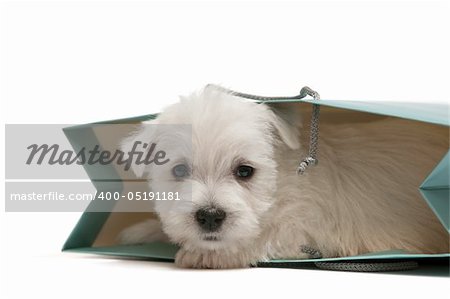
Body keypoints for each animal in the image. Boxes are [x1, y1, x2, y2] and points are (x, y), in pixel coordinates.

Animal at [118, 86, 448, 270]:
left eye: (245, 171)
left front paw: (205, 254)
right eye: (179, 171)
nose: (210, 216)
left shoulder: (308, 229)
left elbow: (267, 236)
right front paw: (139, 230)